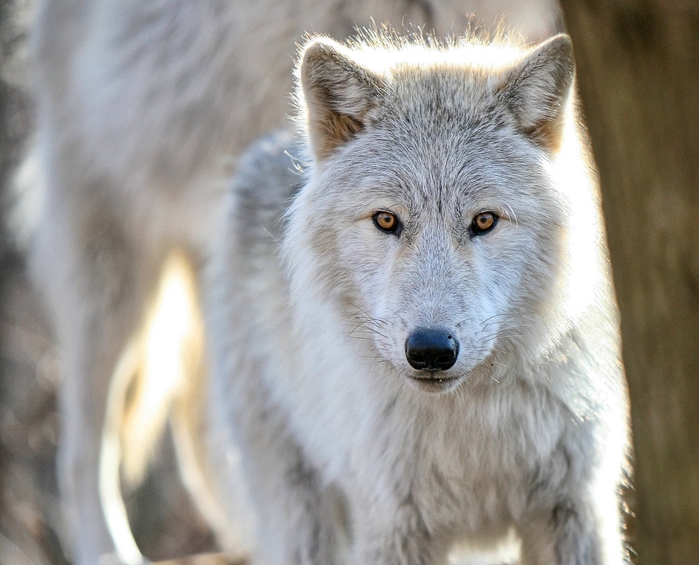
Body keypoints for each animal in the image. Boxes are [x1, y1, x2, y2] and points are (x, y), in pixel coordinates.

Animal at [204, 32, 636, 564]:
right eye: (387, 220)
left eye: (485, 220)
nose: (430, 350)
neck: (470, 426)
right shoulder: (394, 527)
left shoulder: (576, 508)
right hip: (300, 511)